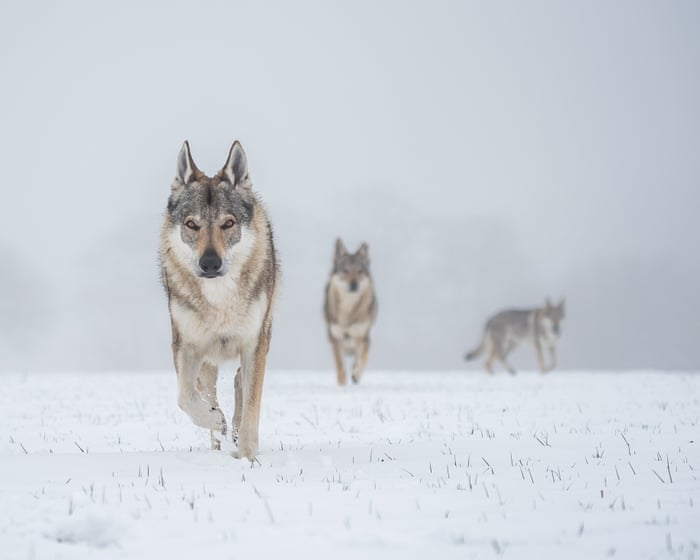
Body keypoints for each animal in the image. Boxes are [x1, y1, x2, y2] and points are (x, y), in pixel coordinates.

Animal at [159, 140, 279, 459]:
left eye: (228, 223)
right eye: (191, 224)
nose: (210, 263)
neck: (219, 299)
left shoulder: (254, 342)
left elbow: (251, 406)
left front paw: (247, 456)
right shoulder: (186, 345)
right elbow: (185, 396)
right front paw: (214, 420)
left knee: (239, 380)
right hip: (207, 360)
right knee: (207, 389)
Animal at [323, 239, 378, 385]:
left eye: (360, 271)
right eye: (345, 271)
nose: (354, 284)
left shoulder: (364, 338)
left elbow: (362, 359)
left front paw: (356, 375)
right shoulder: (335, 338)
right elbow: (339, 363)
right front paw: (342, 382)